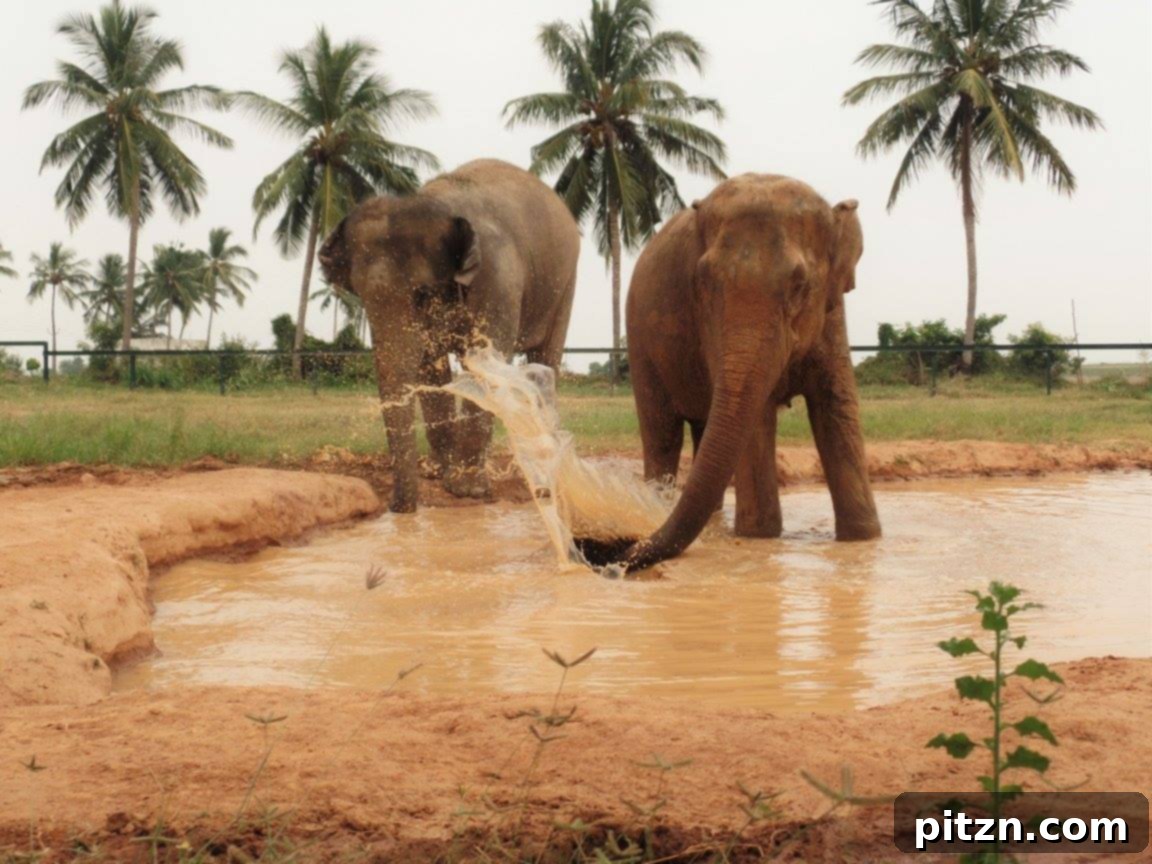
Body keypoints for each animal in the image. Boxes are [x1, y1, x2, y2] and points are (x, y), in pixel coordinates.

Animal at [319, 159, 580, 513]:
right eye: (360, 296)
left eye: (422, 294)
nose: (396, 507)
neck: (437, 203)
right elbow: (430, 364)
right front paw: (443, 477)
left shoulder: (499, 281)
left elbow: (484, 359)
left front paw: (468, 491)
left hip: (564, 282)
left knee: (547, 357)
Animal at [615, 173, 881, 572]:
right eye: (703, 282)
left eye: (801, 286)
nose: (621, 553)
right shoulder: (709, 322)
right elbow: (757, 419)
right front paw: (761, 536)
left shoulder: (831, 315)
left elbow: (838, 407)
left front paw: (865, 537)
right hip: (640, 342)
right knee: (662, 433)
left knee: (702, 428)